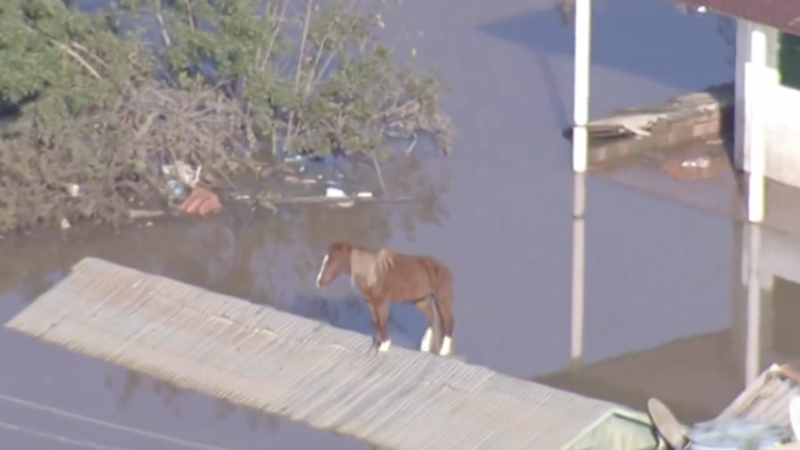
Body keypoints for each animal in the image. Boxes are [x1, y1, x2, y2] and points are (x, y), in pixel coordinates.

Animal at [318, 241, 456, 356]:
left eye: (332, 260)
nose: (319, 282)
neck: (372, 274)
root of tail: (444, 268)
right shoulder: (370, 303)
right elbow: (375, 322)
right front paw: (376, 344)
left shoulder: (381, 303)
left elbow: (382, 322)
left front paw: (384, 346)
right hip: (419, 301)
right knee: (431, 316)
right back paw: (425, 345)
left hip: (442, 299)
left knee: (448, 320)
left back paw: (444, 350)